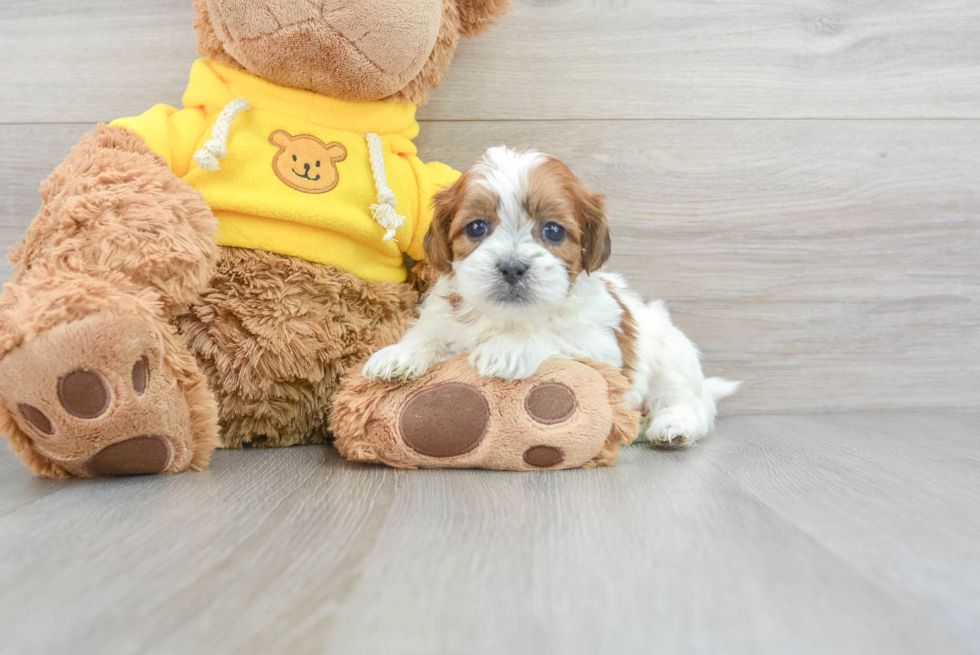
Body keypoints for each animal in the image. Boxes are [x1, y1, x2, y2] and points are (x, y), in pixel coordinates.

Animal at [364, 147, 740, 448]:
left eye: (553, 231)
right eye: (476, 227)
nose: (512, 267)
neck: (508, 317)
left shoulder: (600, 349)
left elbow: (549, 335)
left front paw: (509, 349)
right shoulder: (445, 321)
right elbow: (428, 336)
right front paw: (398, 355)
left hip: (673, 357)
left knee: (688, 403)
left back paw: (672, 427)